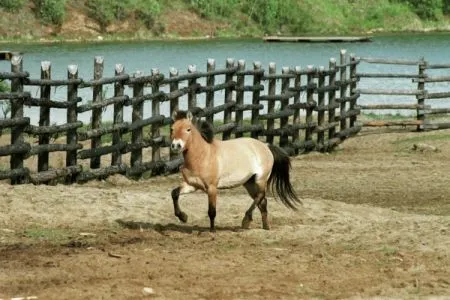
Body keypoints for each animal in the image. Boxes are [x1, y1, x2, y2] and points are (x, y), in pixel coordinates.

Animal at [171, 110, 300, 232]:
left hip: (260, 180)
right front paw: (183, 217)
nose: (176, 145)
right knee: (262, 201)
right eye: (172, 128)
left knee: (260, 196)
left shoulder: (212, 188)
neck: (203, 156)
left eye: (188, 129)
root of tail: (266, 146)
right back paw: (265, 227)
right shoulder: (193, 185)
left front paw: (212, 230)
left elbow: (212, 211)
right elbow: (174, 193)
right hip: (249, 183)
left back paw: (246, 220)